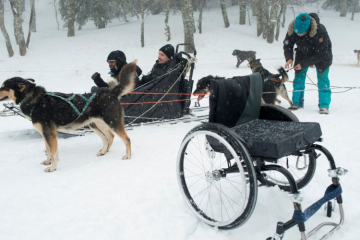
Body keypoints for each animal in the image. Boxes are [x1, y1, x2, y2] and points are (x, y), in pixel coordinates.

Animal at [0, 61, 138, 172]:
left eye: (4, 86)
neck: (34, 100)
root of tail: (111, 92)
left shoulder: (50, 133)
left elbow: (54, 152)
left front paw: (53, 167)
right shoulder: (44, 134)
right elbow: (48, 151)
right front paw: (48, 161)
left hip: (112, 123)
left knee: (126, 139)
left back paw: (128, 156)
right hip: (95, 125)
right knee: (108, 137)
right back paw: (104, 151)